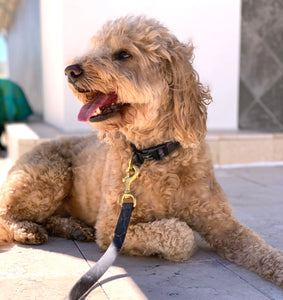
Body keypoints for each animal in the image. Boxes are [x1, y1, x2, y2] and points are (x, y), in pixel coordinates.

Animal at [0, 15, 282, 288]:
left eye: (124, 54)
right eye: (95, 49)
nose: (70, 71)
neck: (152, 155)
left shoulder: (222, 223)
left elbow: (257, 245)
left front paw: (277, 266)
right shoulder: (112, 227)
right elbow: (181, 234)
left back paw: (73, 228)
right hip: (50, 175)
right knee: (6, 214)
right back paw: (28, 230)